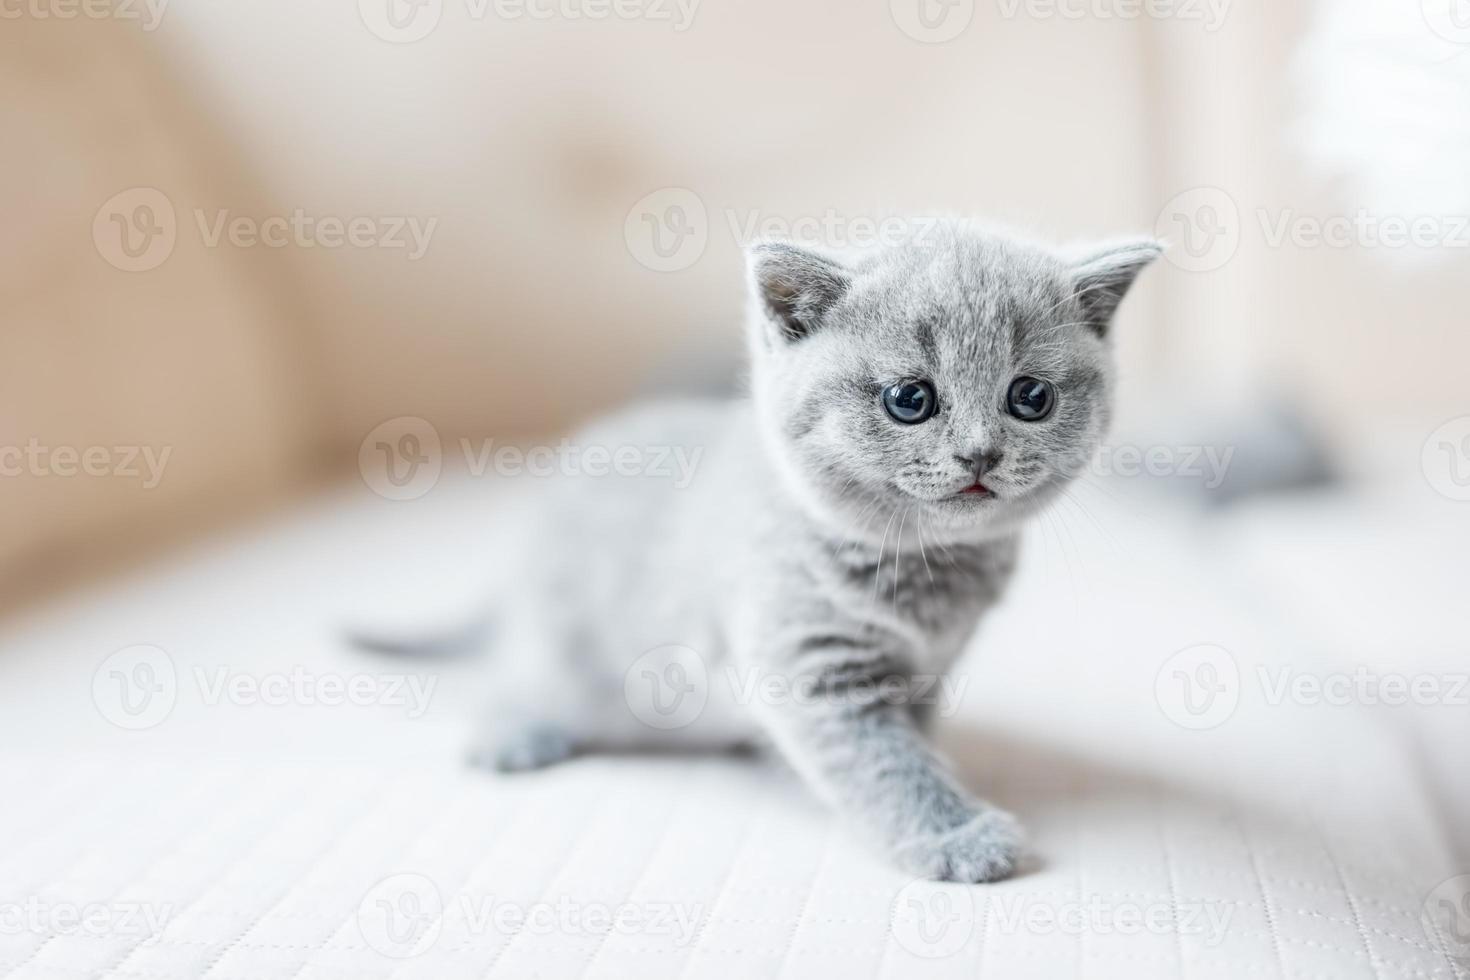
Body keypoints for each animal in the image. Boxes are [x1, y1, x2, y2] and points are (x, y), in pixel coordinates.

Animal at [388, 220, 1158, 881]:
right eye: (910, 399)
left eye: (1031, 397)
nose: (980, 454)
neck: (929, 573)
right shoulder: (810, 665)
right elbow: (885, 762)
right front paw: (956, 837)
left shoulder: (929, 670)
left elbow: (911, 737)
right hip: (561, 645)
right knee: (513, 674)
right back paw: (513, 733)